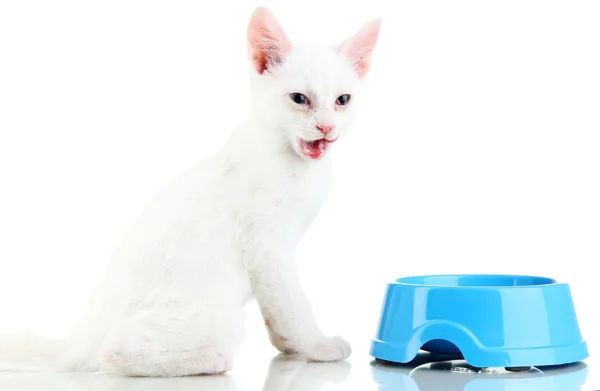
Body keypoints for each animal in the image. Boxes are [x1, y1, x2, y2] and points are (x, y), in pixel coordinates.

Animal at [0, 6, 382, 378]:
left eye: (343, 100)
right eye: (299, 99)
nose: (327, 127)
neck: (293, 163)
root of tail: (78, 341)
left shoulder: (274, 258)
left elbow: (276, 307)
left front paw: (287, 343)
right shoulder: (268, 248)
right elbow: (293, 303)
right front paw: (317, 346)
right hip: (219, 316)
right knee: (113, 352)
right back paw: (210, 361)